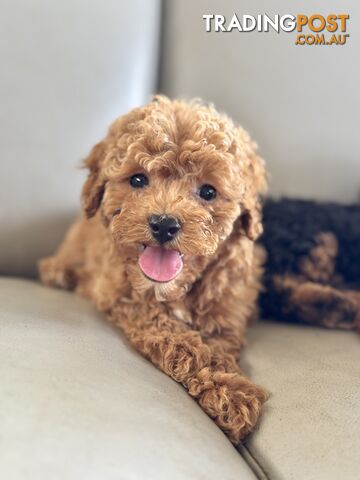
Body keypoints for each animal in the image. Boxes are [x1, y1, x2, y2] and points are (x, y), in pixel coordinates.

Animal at [40, 95, 268, 444]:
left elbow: (217, 345)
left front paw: (228, 388)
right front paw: (227, 388)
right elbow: (175, 333)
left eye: (208, 191)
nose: (164, 223)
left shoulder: (226, 311)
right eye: (138, 179)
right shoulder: (124, 296)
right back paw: (58, 272)